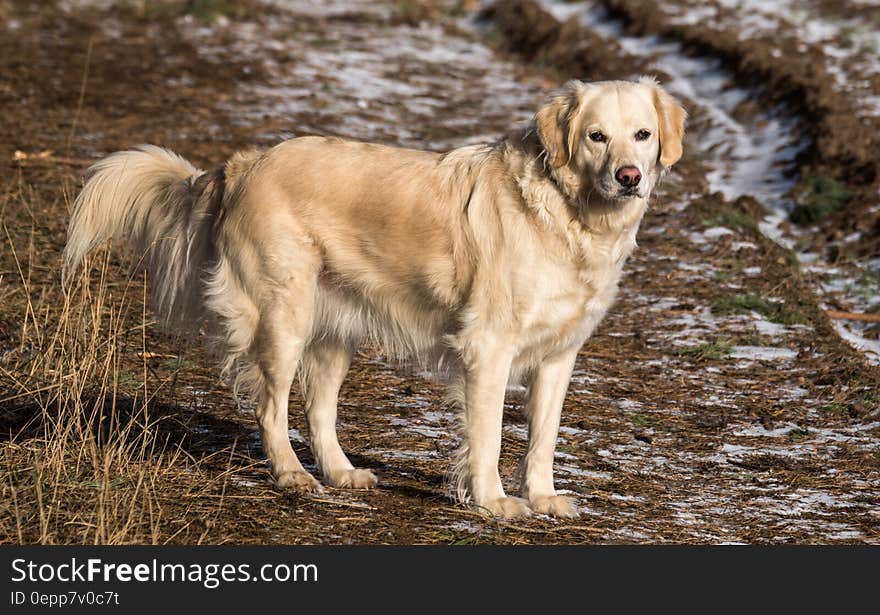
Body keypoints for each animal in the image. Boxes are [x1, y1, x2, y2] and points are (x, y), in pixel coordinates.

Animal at [67, 78, 688, 520]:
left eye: (641, 134)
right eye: (596, 136)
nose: (629, 177)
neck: (567, 213)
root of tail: (242, 165)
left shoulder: (559, 356)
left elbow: (543, 438)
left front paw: (541, 497)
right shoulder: (488, 348)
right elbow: (487, 436)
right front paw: (493, 501)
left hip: (335, 331)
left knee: (318, 411)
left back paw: (341, 473)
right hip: (284, 318)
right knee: (271, 407)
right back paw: (293, 476)